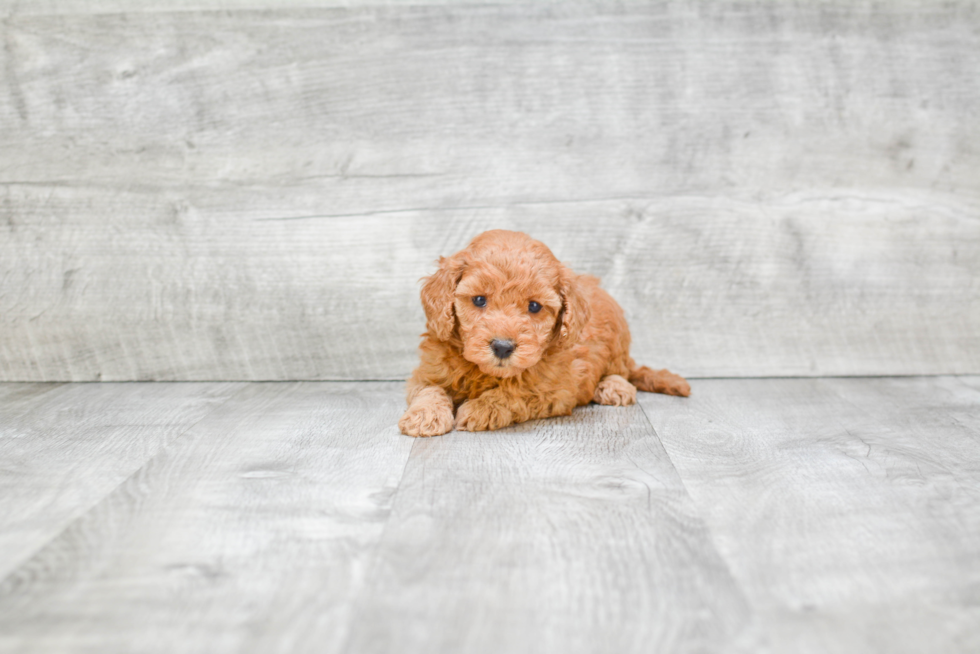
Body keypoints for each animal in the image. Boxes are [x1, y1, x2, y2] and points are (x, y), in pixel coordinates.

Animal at [398, 228, 688, 438]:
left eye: (534, 306)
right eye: (479, 300)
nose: (502, 347)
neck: (485, 373)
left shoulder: (554, 389)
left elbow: (515, 394)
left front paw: (481, 409)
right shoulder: (428, 371)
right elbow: (429, 390)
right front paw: (424, 417)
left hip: (618, 338)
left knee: (622, 370)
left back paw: (614, 387)